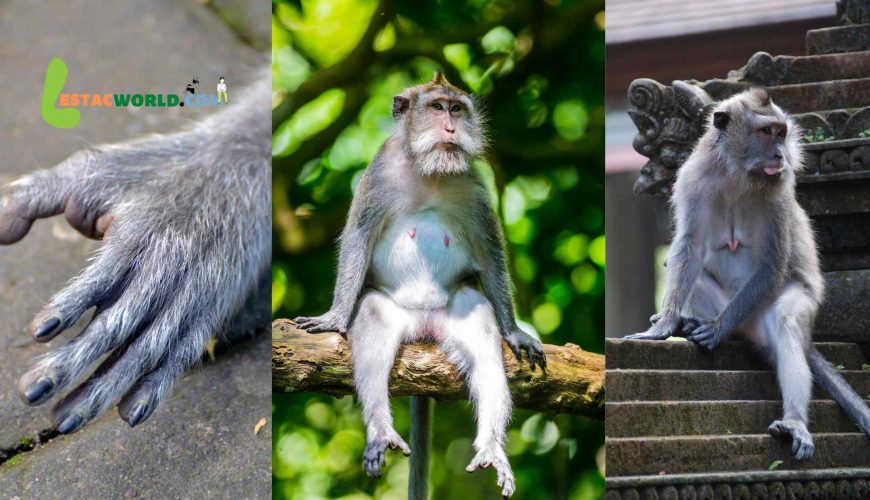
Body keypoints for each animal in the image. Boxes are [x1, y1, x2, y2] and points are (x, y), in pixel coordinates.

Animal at [294, 71, 546, 498]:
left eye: (457, 109)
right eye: (437, 107)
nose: (451, 127)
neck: (431, 172)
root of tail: (425, 326)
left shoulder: (473, 186)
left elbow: (489, 253)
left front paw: (514, 331)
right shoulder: (379, 174)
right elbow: (358, 238)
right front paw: (335, 316)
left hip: (453, 313)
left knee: (480, 328)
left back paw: (491, 446)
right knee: (374, 319)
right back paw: (380, 430)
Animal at [626, 88, 870, 461]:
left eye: (781, 133)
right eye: (767, 132)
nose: (780, 153)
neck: (736, 174)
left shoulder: (780, 191)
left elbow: (773, 263)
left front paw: (714, 330)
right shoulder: (692, 180)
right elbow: (689, 248)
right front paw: (664, 326)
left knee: (787, 321)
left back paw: (793, 419)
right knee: (683, 267)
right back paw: (691, 323)